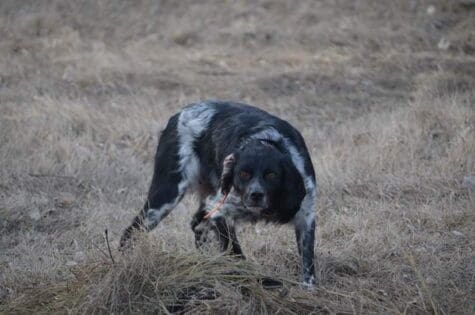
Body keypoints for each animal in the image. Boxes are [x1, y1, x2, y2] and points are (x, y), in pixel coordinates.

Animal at [121, 100, 318, 286]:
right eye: (243, 174)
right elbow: (235, 251)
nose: (255, 195)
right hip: (166, 195)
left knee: (196, 225)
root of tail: (179, 113)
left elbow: (308, 261)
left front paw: (308, 288)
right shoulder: (220, 210)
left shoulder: (306, 214)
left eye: (272, 174)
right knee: (132, 230)